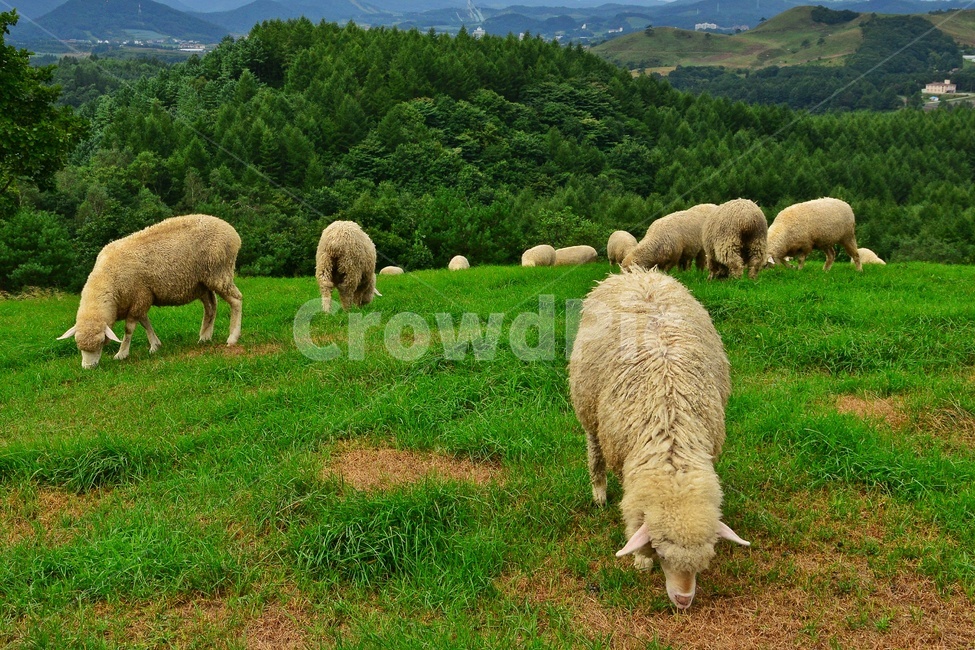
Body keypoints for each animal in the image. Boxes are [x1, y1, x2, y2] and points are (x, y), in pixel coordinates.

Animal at [57, 214, 243, 369]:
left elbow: (129, 329)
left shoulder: (139, 297)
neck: (108, 278)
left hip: (219, 271)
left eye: (102, 342)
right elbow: (145, 322)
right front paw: (155, 346)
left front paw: (122, 354)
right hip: (202, 283)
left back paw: (232, 338)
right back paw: (204, 337)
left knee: (236, 300)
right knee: (211, 306)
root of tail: (232, 231)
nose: (88, 368)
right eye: (78, 345)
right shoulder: (141, 299)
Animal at [568, 269, 750, 609]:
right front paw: (641, 561)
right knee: (594, 448)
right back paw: (599, 493)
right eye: (661, 554)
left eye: (703, 563)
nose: (683, 600)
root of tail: (636, 274)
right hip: (588, 407)